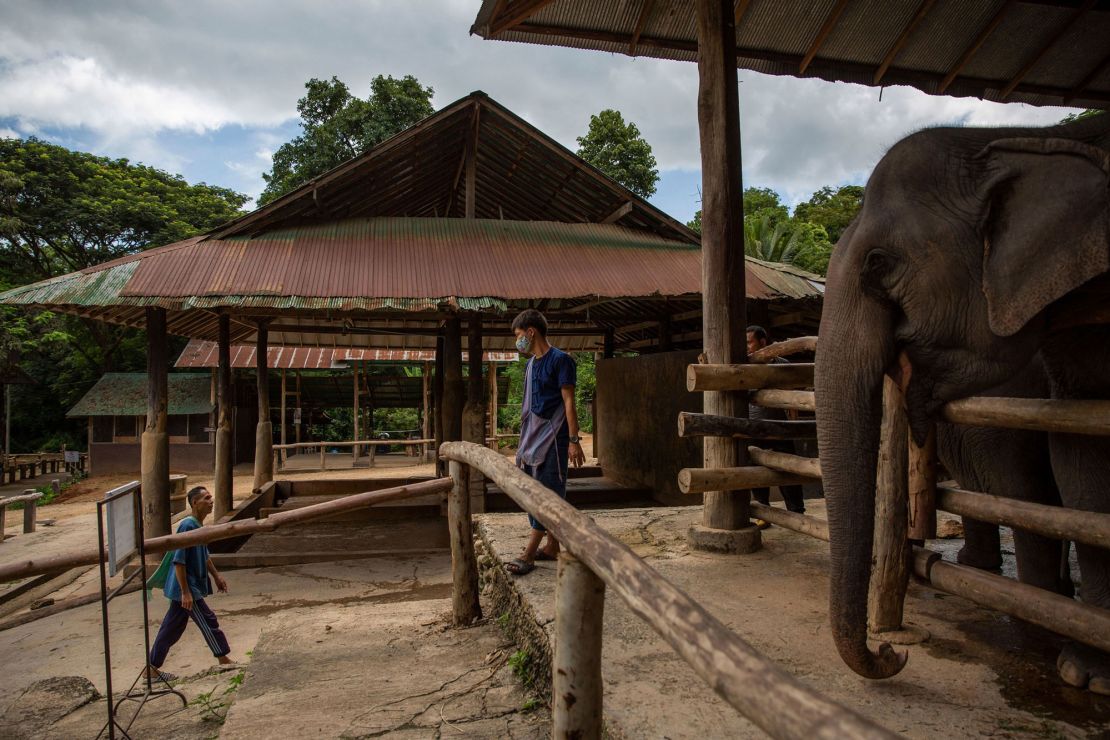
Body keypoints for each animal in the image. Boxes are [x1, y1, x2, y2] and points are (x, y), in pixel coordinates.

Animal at [816, 111, 1110, 696]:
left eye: (879, 263)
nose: (890, 652)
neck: (1007, 139)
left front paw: (1070, 659)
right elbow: (1080, 454)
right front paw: (1087, 673)